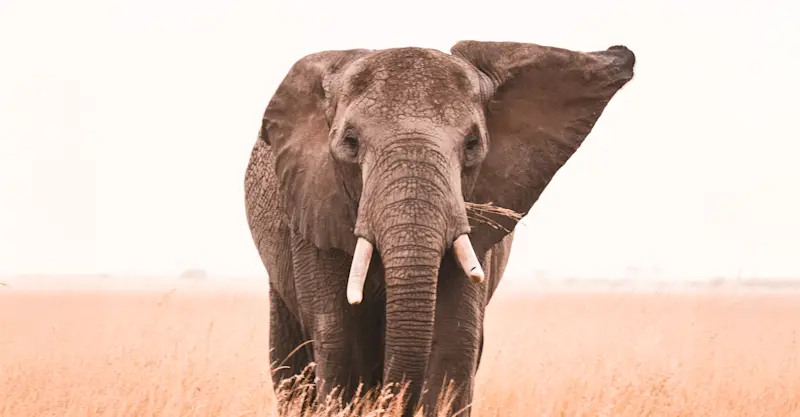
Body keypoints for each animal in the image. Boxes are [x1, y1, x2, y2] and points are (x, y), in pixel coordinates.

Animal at [244, 40, 636, 417]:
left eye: (472, 144)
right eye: (350, 143)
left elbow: (453, 344)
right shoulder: (313, 212)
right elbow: (339, 343)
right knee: (292, 365)